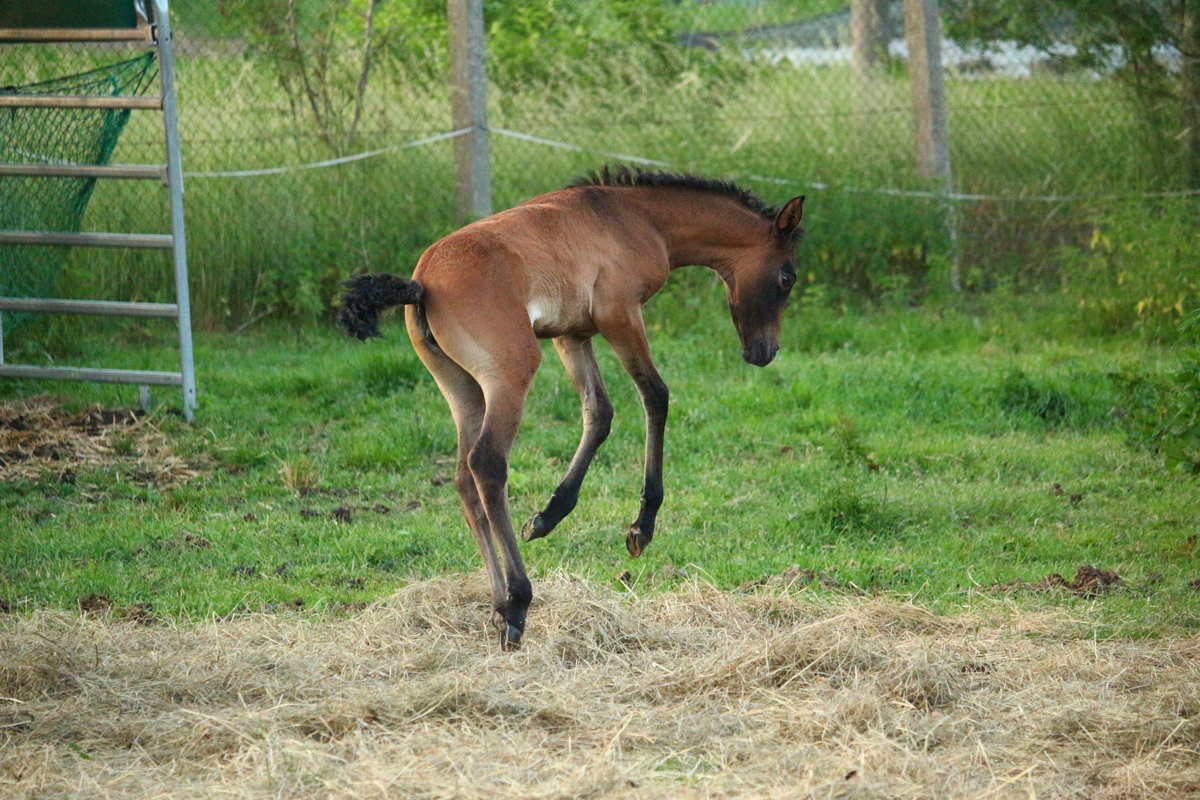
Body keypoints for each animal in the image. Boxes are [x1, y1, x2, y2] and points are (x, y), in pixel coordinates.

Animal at [340, 165, 806, 647]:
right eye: (787, 277)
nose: (764, 352)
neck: (636, 216)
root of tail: (423, 282)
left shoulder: (572, 334)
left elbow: (599, 413)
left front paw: (548, 516)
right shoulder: (619, 314)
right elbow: (655, 395)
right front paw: (641, 527)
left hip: (460, 388)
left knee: (465, 480)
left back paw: (497, 607)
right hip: (509, 375)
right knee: (487, 463)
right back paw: (517, 604)